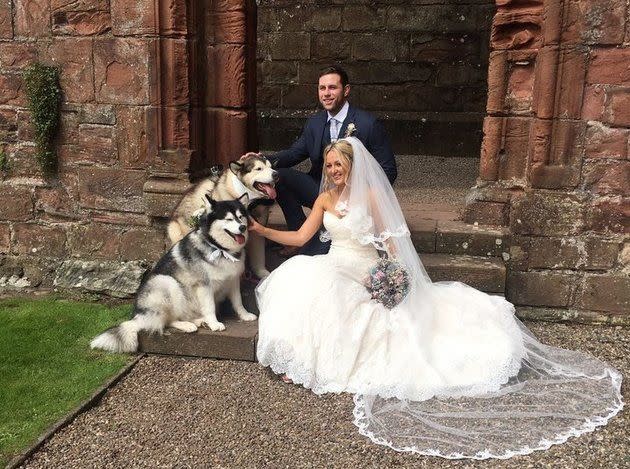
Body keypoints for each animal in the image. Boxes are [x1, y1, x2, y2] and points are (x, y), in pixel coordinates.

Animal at [89, 194, 256, 352]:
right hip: (167, 283)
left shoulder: (233, 279)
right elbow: (209, 307)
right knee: (167, 321)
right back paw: (188, 325)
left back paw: (199, 321)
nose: (242, 227)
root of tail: (138, 317)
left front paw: (245, 315)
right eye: (229, 219)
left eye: (241, 217)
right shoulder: (203, 284)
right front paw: (214, 324)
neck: (220, 249)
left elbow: (238, 301)